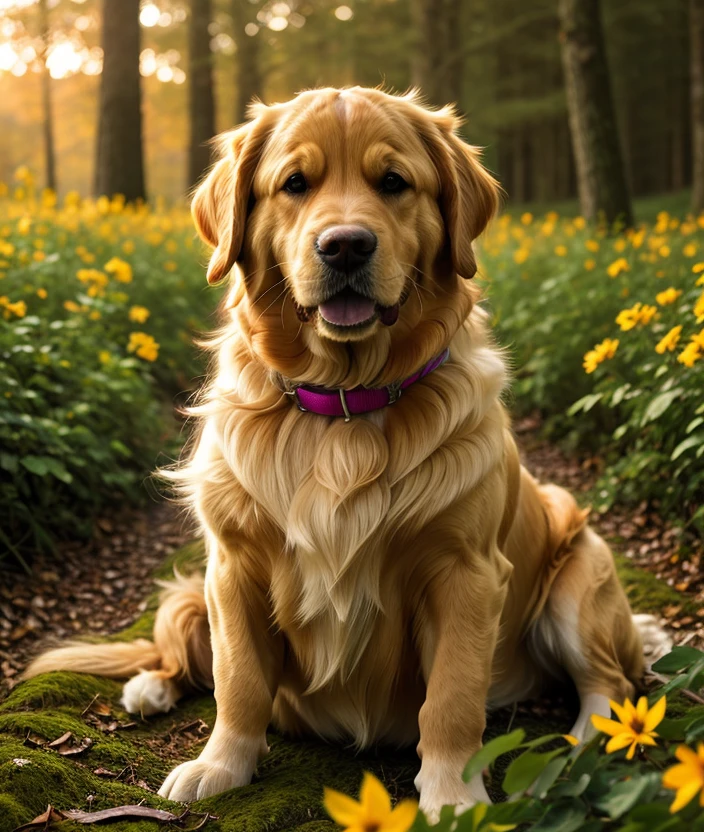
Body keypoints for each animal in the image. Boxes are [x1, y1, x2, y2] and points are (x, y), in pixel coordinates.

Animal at [24, 88, 668, 816]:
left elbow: (452, 700)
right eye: (294, 184)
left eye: (393, 182)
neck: (343, 408)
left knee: (611, 681)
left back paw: (591, 742)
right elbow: (238, 680)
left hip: (578, 579)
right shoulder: (232, 565)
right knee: (182, 654)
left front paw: (453, 795)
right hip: (194, 592)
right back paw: (149, 688)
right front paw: (221, 765)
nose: (346, 246)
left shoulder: (467, 574)